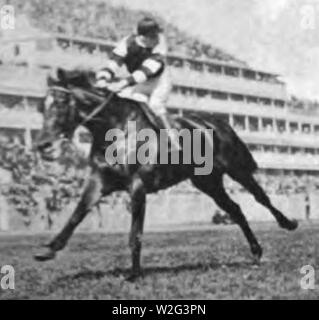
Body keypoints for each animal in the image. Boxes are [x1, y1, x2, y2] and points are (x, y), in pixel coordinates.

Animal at [33, 68, 298, 280]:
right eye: (41, 106)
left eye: (60, 103)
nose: (42, 144)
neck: (116, 129)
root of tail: (219, 122)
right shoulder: (100, 180)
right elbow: (77, 213)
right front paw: (49, 248)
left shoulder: (137, 186)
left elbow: (136, 233)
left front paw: (134, 274)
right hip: (207, 182)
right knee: (235, 210)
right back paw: (256, 251)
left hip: (237, 169)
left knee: (261, 197)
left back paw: (288, 223)